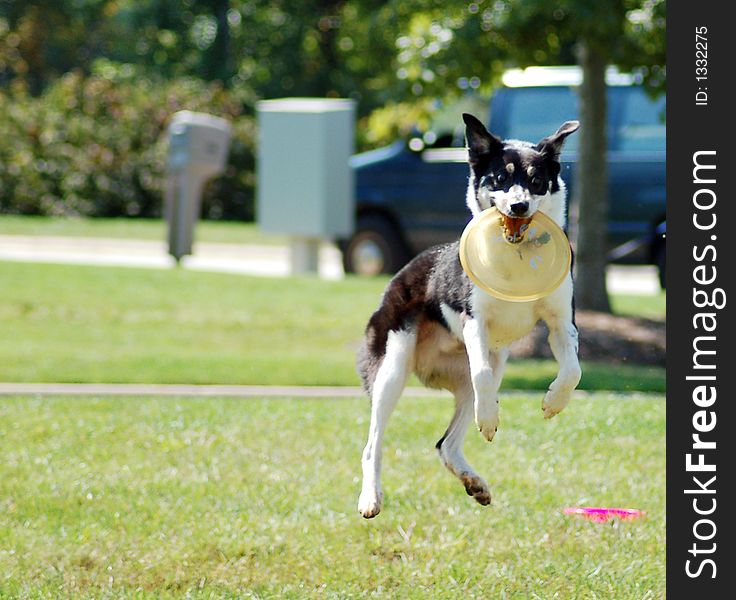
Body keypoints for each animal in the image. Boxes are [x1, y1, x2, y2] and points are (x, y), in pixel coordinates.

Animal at [356, 115, 580, 516]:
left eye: (537, 181)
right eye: (500, 178)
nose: (519, 206)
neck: (516, 259)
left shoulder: (560, 323)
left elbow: (572, 371)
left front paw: (553, 402)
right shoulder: (475, 323)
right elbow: (482, 374)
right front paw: (489, 419)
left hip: (487, 365)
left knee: (446, 443)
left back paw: (474, 483)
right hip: (392, 368)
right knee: (373, 444)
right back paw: (370, 498)